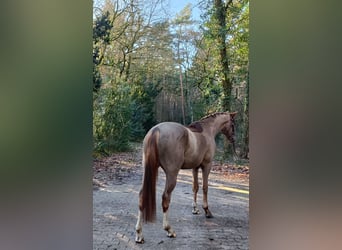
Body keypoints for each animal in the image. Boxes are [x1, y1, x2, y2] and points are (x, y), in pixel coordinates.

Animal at [135, 111, 236, 242]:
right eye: (233, 124)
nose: (233, 139)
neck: (207, 130)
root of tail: (156, 130)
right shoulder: (206, 166)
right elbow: (205, 187)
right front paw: (207, 210)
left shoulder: (195, 167)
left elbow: (195, 187)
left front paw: (195, 209)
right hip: (172, 174)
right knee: (166, 197)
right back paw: (169, 230)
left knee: (142, 196)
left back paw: (139, 234)